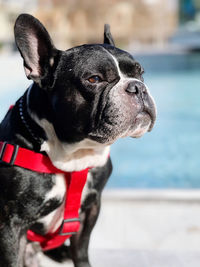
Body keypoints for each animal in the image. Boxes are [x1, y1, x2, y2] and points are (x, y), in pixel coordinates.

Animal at [0, 14, 156, 267]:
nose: (137, 87)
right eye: (94, 79)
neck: (73, 155)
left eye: (140, 72)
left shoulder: (90, 209)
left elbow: (81, 250)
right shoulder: (11, 224)